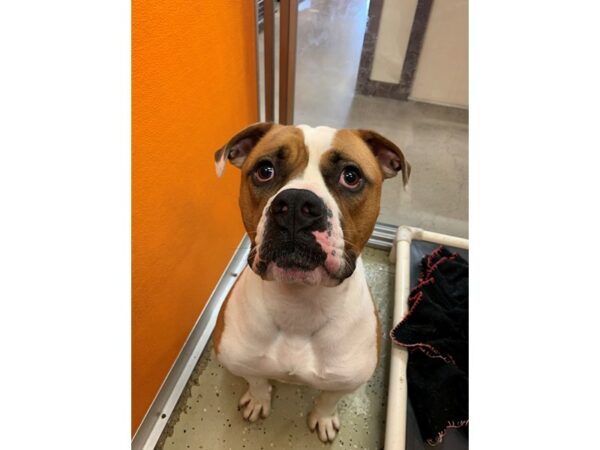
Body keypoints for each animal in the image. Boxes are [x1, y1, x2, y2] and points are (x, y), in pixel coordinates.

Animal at [212, 124, 412, 442]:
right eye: (265, 170)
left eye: (351, 176)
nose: (295, 204)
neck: (298, 303)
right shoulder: (237, 358)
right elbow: (256, 380)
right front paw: (258, 399)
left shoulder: (345, 380)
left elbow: (328, 399)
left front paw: (323, 418)